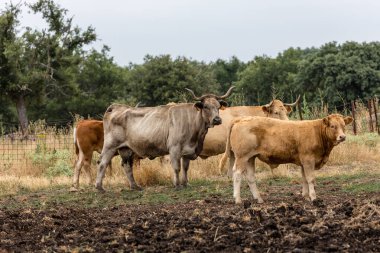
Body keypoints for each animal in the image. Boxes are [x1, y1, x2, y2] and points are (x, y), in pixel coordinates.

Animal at [94, 87, 235, 192]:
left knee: (127, 166)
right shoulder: (174, 148)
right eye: (206, 106)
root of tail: (117, 107)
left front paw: (185, 183)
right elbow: (177, 167)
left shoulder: (188, 150)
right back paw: (99, 187)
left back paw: (135, 186)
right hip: (110, 146)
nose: (217, 119)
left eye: (218, 106)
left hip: (126, 149)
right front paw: (177, 185)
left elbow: (185, 167)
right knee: (103, 163)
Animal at [220, 113, 354, 205]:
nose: (342, 137)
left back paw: (259, 198)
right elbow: (310, 179)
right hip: (242, 156)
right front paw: (313, 197)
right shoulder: (308, 159)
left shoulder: (303, 162)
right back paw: (238, 199)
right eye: (332, 126)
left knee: (250, 177)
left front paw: (305, 196)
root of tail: (241, 119)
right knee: (237, 174)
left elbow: (304, 179)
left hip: (250, 157)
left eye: (343, 126)